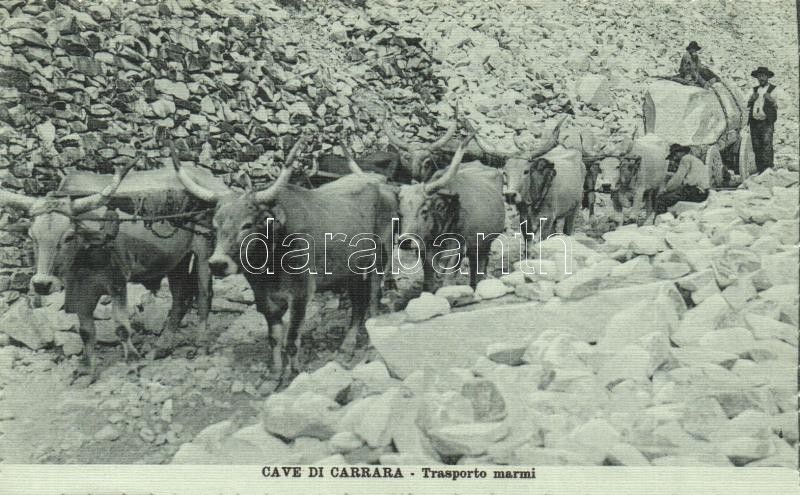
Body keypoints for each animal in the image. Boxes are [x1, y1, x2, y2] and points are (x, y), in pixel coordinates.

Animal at [0, 166, 213, 383]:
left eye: (68, 236)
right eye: (32, 236)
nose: (42, 284)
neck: (86, 252)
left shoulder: (117, 282)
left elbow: (121, 327)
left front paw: (133, 362)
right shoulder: (79, 289)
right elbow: (86, 331)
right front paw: (87, 368)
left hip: (204, 254)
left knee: (204, 296)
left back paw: (201, 345)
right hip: (176, 261)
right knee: (180, 299)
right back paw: (161, 347)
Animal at [171, 135, 397, 387]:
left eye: (247, 224)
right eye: (215, 225)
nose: (218, 264)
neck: (270, 262)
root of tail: (378, 183)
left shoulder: (301, 294)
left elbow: (291, 339)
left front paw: (293, 374)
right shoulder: (265, 299)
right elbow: (274, 338)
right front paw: (275, 374)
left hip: (380, 257)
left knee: (372, 296)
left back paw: (366, 336)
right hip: (351, 270)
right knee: (359, 302)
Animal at [392, 131, 506, 292]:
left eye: (424, 211)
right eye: (400, 213)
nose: (405, 241)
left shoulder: (456, 250)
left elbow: (448, 279)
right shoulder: (424, 250)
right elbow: (429, 280)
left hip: (484, 243)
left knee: (480, 265)